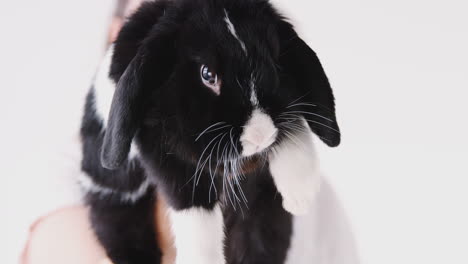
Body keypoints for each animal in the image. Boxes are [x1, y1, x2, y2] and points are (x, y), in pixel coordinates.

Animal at [79, 0, 340, 264]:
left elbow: (293, 126)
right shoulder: (165, 157)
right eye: (207, 74)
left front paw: (301, 196)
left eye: (275, 64)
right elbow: (193, 209)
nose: (260, 135)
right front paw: (201, 258)